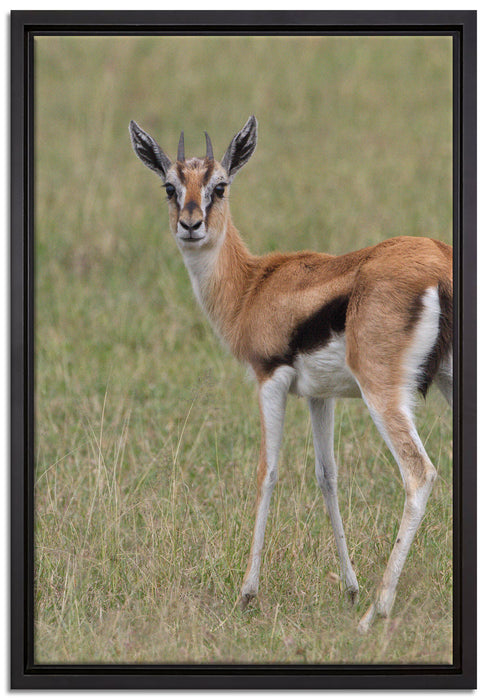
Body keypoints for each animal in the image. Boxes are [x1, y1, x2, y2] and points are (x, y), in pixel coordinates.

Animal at [129, 116, 452, 631]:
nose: (191, 225)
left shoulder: (270, 381)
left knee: (419, 475)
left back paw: (375, 614)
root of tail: (440, 263)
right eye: (170, 187)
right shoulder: (320, 396)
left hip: (383, 392)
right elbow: (327, 476)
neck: (252, 287)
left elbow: (268, 470)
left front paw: (247, 594)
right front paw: (349, 588)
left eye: (220, 186)